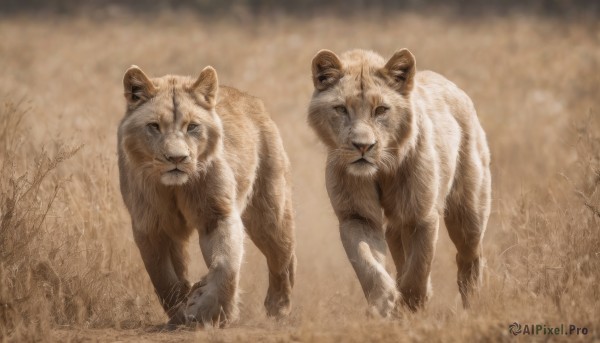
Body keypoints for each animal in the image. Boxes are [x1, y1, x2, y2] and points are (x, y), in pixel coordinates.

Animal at [117, 65, 296, 328]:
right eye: (154, 126)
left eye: (192, 126)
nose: (177, 158)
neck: (175, 188)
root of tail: (251, 98)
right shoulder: (149, 225)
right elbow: (163, 277)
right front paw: (181, 312)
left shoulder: (217, 214)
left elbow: (225, 264)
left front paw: (209, 310)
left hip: (270, 213)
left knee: (283, 256)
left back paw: (279, 307)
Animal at [310, 48, 492, 318]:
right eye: (341, 109)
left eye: (381, 110)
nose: (362, 146)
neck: (382, 170)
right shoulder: (356, 216)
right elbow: (367, 263)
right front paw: (384, 303)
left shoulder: (421, 215)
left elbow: (418, 268)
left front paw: (411, 303)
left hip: (467, 212)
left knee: (470, 256)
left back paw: (472, 306)